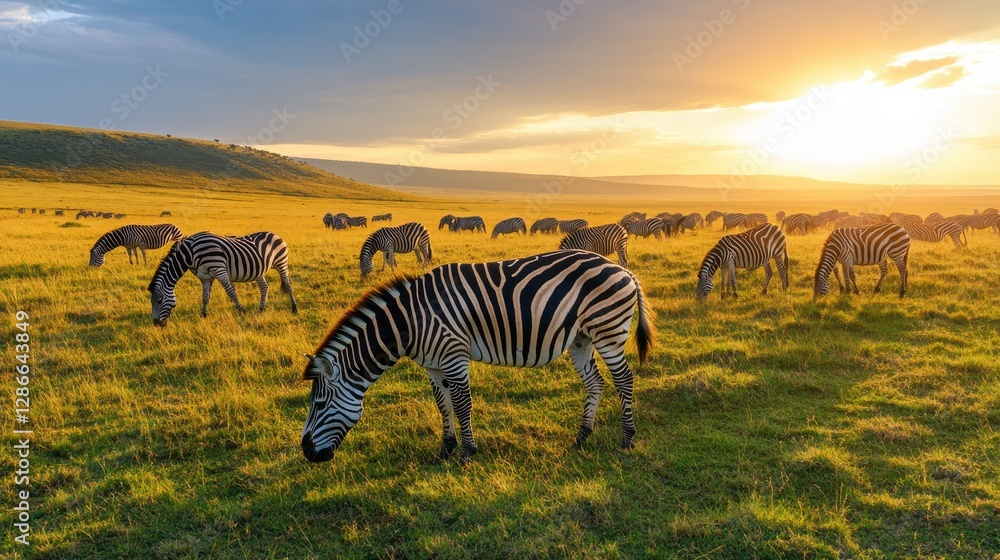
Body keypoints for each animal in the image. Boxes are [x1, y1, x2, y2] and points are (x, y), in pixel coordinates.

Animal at [148, 231, 298, 326]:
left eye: (159, 301)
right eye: (151, 302)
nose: (156, 324)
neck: (189, 254)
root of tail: (274, 234)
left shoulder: (219, 269)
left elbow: (231, 292)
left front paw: (241, 311)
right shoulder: (205, 277)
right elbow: (205, 296)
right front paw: (203, 314)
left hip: (281, 263)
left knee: (288, 284)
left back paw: (294, 309)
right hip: (259, 270)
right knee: (264, 287)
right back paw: (261, 309)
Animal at [300, 249, 653, 464]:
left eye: (319, 404)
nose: (306, 452)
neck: (410, 322)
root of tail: (623, 270)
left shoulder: (453, 355)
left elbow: (462, 404)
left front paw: (467, 452)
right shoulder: (433, 365)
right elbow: (442, 405)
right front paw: (445, 449)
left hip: (608, 330)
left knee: (624, 380)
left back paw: (627, 438)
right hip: (581, 338)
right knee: (595, 383)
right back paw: (581, 437)